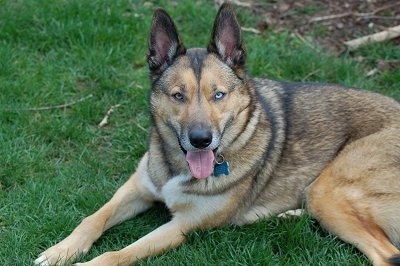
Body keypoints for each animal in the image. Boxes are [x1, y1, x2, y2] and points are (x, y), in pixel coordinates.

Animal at [34, 4, 400, 266]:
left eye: (219, 95)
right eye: (178, 96)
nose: (201, 140)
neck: (178, 167)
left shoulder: (181, 227)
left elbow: (119, 253)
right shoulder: (137, 188)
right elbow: (92, 219)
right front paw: (61, 250)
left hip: (328, 189)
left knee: (388, 256)